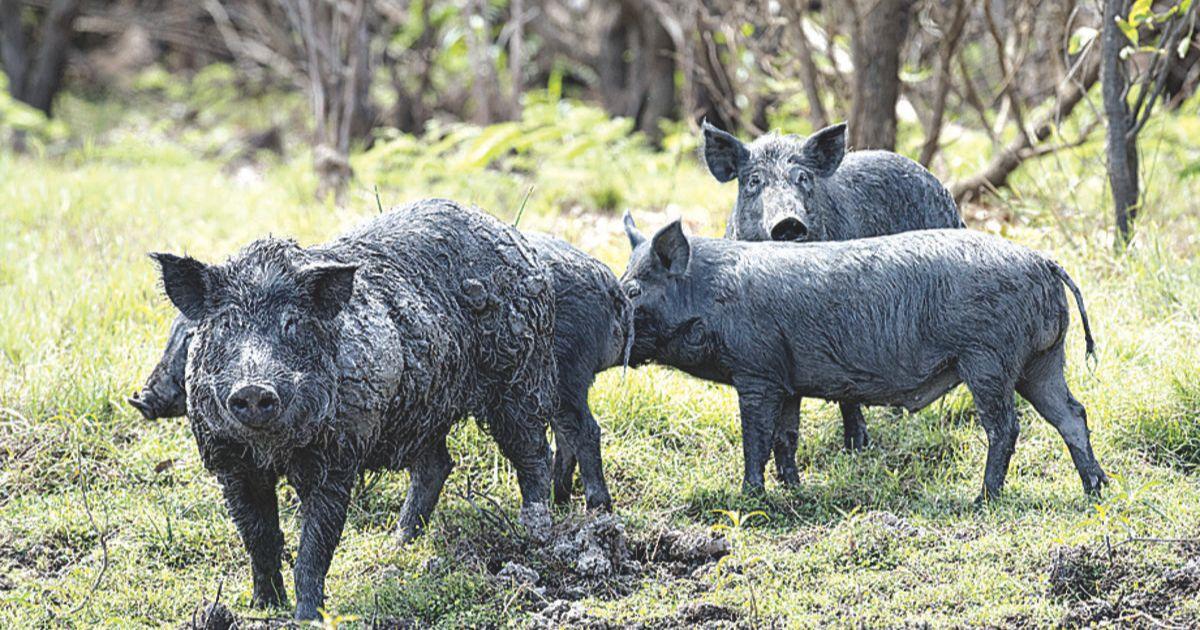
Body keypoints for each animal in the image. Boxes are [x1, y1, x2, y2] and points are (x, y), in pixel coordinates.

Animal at [133, 231, 632, 514]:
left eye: (189, 338)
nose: (140, 398)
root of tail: (609, 282)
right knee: (444, 462)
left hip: (552, 379)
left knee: (579, 431)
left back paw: (589, 510)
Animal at [146, 199, 558, 620]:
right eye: (226, 324)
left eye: (292, 323)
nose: (254, 388)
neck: (272, 450)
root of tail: (513, 237)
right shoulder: (229, 462)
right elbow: (259, 538)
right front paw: (263, 606)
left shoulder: (337, 456)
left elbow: (315, 546)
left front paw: (306, 618)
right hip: (425, 408)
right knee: (437, 464)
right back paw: (399, 543)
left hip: (519, 376)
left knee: (534, 452)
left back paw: (536, 534)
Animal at [621, 213, 1107, 502]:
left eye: (633, 289)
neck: (709, 297)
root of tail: (1044, 262)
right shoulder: (786, 380)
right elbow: (785, 438)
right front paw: (794, 490)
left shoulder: (756, 372)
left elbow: (755, 439)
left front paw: (750, 497)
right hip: (1041, 361)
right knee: (1073, 413)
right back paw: (1097, 489)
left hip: (988, 360)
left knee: (1006, 426)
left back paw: (982, 499)